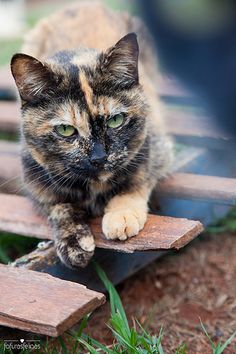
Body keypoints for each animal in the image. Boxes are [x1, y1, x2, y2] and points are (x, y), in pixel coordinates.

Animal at [10, 0, 172, 268]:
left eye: (116, 120)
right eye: (66, 130)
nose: (99, 157)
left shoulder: (156, 145)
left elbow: (137, 178)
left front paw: (122, 217)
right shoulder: (35, 180)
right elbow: (59, 206)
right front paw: (75, 244)